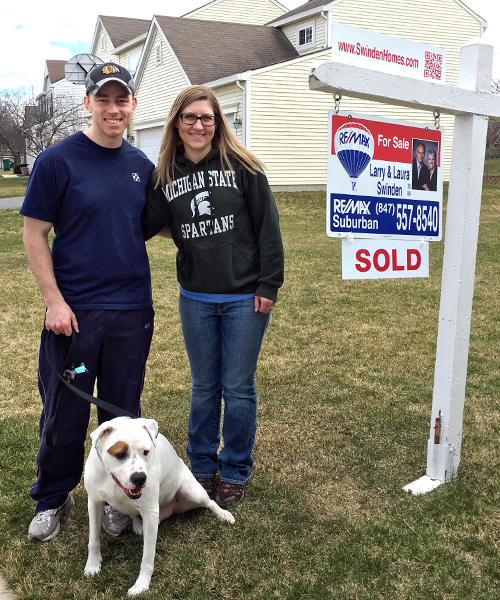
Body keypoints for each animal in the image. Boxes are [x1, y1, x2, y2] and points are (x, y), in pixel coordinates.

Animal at [83, 418, 234, 596]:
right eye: (120, 454)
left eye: (146, 452)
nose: (140, 478)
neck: (112, 479)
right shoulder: (94, 502)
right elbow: (93, 539)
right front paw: (93, 565)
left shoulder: (150, 513)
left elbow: (147, 556)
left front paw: (141, 584)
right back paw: (137, 525)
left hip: (193, 493)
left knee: (210, 502)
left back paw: (223, 514)